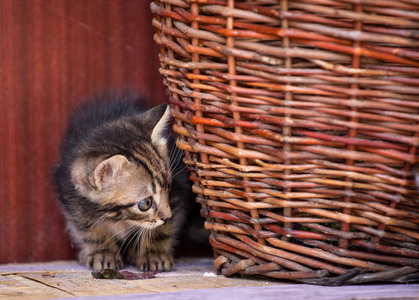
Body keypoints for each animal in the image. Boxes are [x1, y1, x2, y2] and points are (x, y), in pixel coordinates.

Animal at [53, 92, 191, 272]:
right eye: (145, 203)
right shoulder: (75, 204)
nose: (167, 216)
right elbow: (90, 230)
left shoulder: (176, 196)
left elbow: (160, 230)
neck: (119, 216)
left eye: (168, 187)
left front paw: (154, 254)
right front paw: (103, 253)